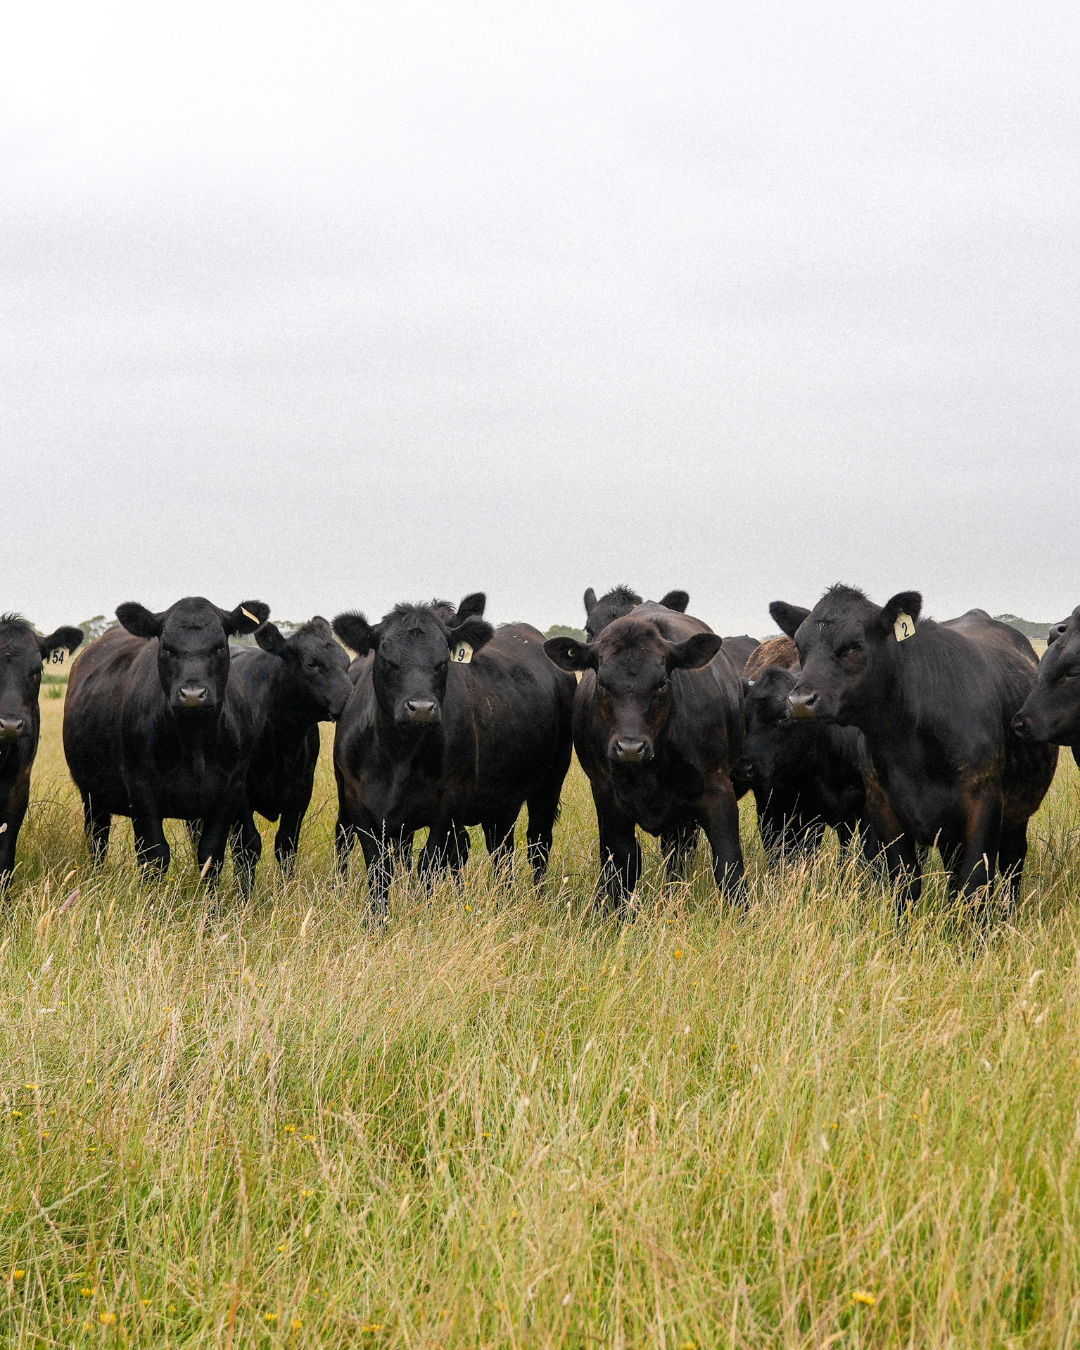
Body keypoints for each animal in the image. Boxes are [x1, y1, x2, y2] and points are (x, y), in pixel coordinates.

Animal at [63, 596, 270, 892]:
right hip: (93, 797)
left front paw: (210, 906)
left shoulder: (229, 791)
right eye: (166, 647)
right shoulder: (141, 789)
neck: (194, 743)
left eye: (220, 645)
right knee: (97, 839)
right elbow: (154, 854)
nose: (193, 694)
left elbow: (211, 854)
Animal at [229, 617, 353, 873]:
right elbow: (248, 847)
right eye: (311, 663)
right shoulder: (240, 794)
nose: (351, 700)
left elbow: (286, 845)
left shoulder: (300, 791)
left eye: (347, 663)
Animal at [332, 594, 575, 917]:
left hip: (549, 783)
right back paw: (503, 898)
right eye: (387, 659)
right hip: (503, 798)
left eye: (441, 662)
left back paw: (536, 899)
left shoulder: (449, 804)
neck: (398, 755)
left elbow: (430, 864)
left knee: (538, 843)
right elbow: (379, 869)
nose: (421, 708)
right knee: (501, 848)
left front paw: (423, 915)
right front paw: (378, 921)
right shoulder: (359, 805)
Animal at [544, 602, 745, 912]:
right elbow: (623, 863)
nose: (629, 747)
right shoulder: (607, 796)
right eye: (602, 683)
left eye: (662, 683)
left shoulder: (717, 789)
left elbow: (729, 864)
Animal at [770, 587, 1057, 915]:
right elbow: (904, 884)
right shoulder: (882, 808)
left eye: (855, 645)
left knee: (1012, 863)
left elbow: (975, 886)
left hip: (1018, 812)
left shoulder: (983, 804)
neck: (910, 743)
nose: (800, 701)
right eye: (800, 646)